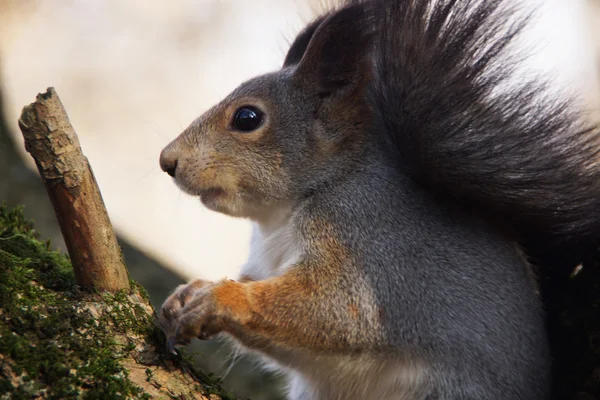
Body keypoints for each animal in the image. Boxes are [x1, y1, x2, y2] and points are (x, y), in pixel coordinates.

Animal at [156, 1, 600, 398]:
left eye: (247, 118)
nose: (167, 161)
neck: (286, 213)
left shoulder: (362, 242)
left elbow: (337, 307)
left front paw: (221, 298)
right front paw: (194, 290)